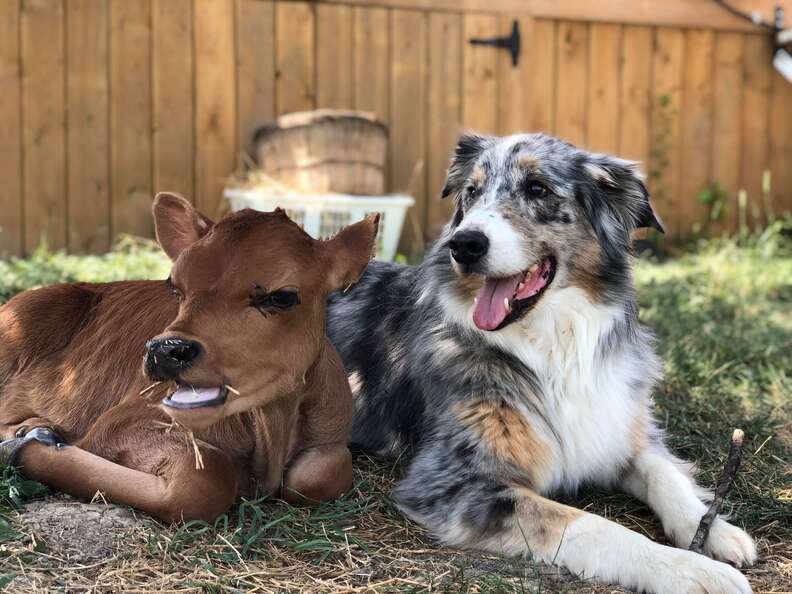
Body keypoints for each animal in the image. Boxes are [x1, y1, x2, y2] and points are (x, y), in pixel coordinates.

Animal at [0, 192, 380, 520]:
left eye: (282, 296)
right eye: (175, 286)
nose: (166, 351)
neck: (272, 432)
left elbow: (319, 475)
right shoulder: (119, 422)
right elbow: (206, 481)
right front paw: (28, 445)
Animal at [326, 134, 756, 592]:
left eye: (537, 188)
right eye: (472, 193)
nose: (463, 244)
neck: (555, 341)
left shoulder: (618, 425)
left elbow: (667, 475)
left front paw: (718, 532)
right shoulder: (452, 481)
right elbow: (591, 526)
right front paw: (690, 569)